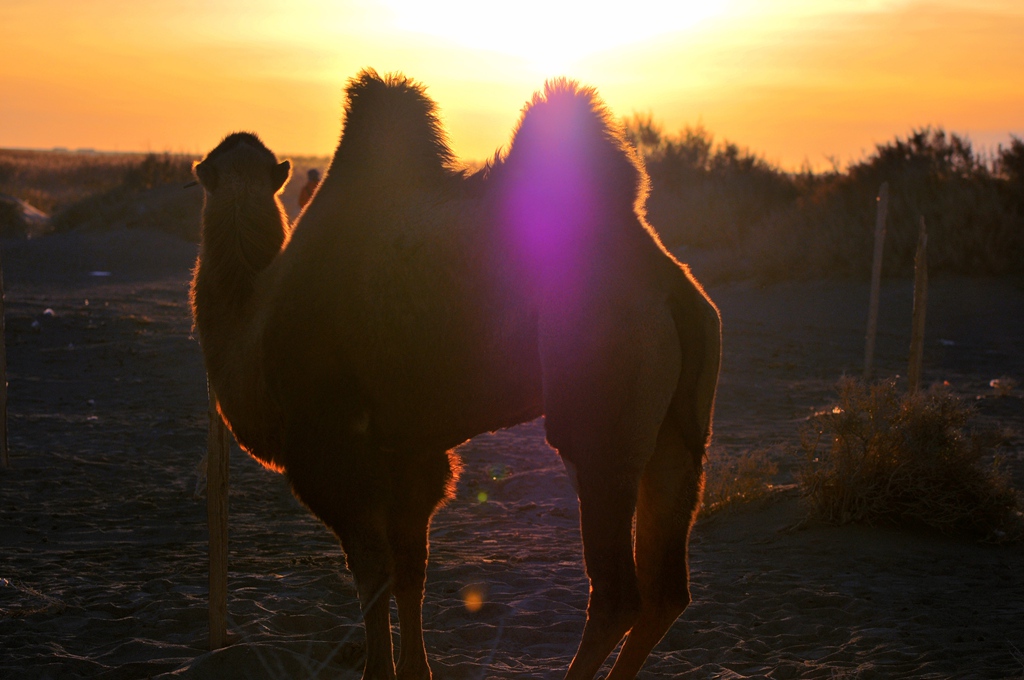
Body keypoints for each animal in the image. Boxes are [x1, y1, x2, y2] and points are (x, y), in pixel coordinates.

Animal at [192, 70, 720, 680]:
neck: (252, 318)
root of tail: (671, 290)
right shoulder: (411, 454)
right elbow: (410, 570)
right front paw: (415, 670)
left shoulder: (333, 454)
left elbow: (371, 572)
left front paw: (379, 670)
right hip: (678, 431)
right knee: (668, 590)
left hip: (600, 408)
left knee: (618, 592)